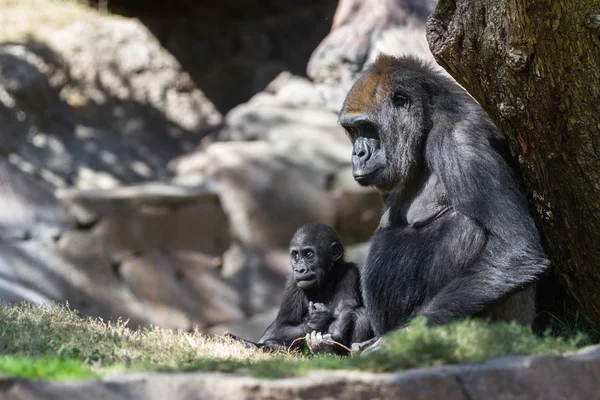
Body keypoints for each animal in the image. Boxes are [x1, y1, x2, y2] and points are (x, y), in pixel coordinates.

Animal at [258, 223, 372, 354]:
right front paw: (316, 322)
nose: (300, 269)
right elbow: (281, 327)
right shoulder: (292, 285)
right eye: (295, 256)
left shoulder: (350, 272)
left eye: (309, 254)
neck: (325, 280)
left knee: (360, 314)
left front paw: (332, 331)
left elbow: (345, 307)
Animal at [338, 54, 548, 344]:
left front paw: (397, 340)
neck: (427, 123)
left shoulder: (461, 139)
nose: (357, 154)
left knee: (467, 229)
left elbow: (516, 248)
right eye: (352, 130)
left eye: (367, 127)